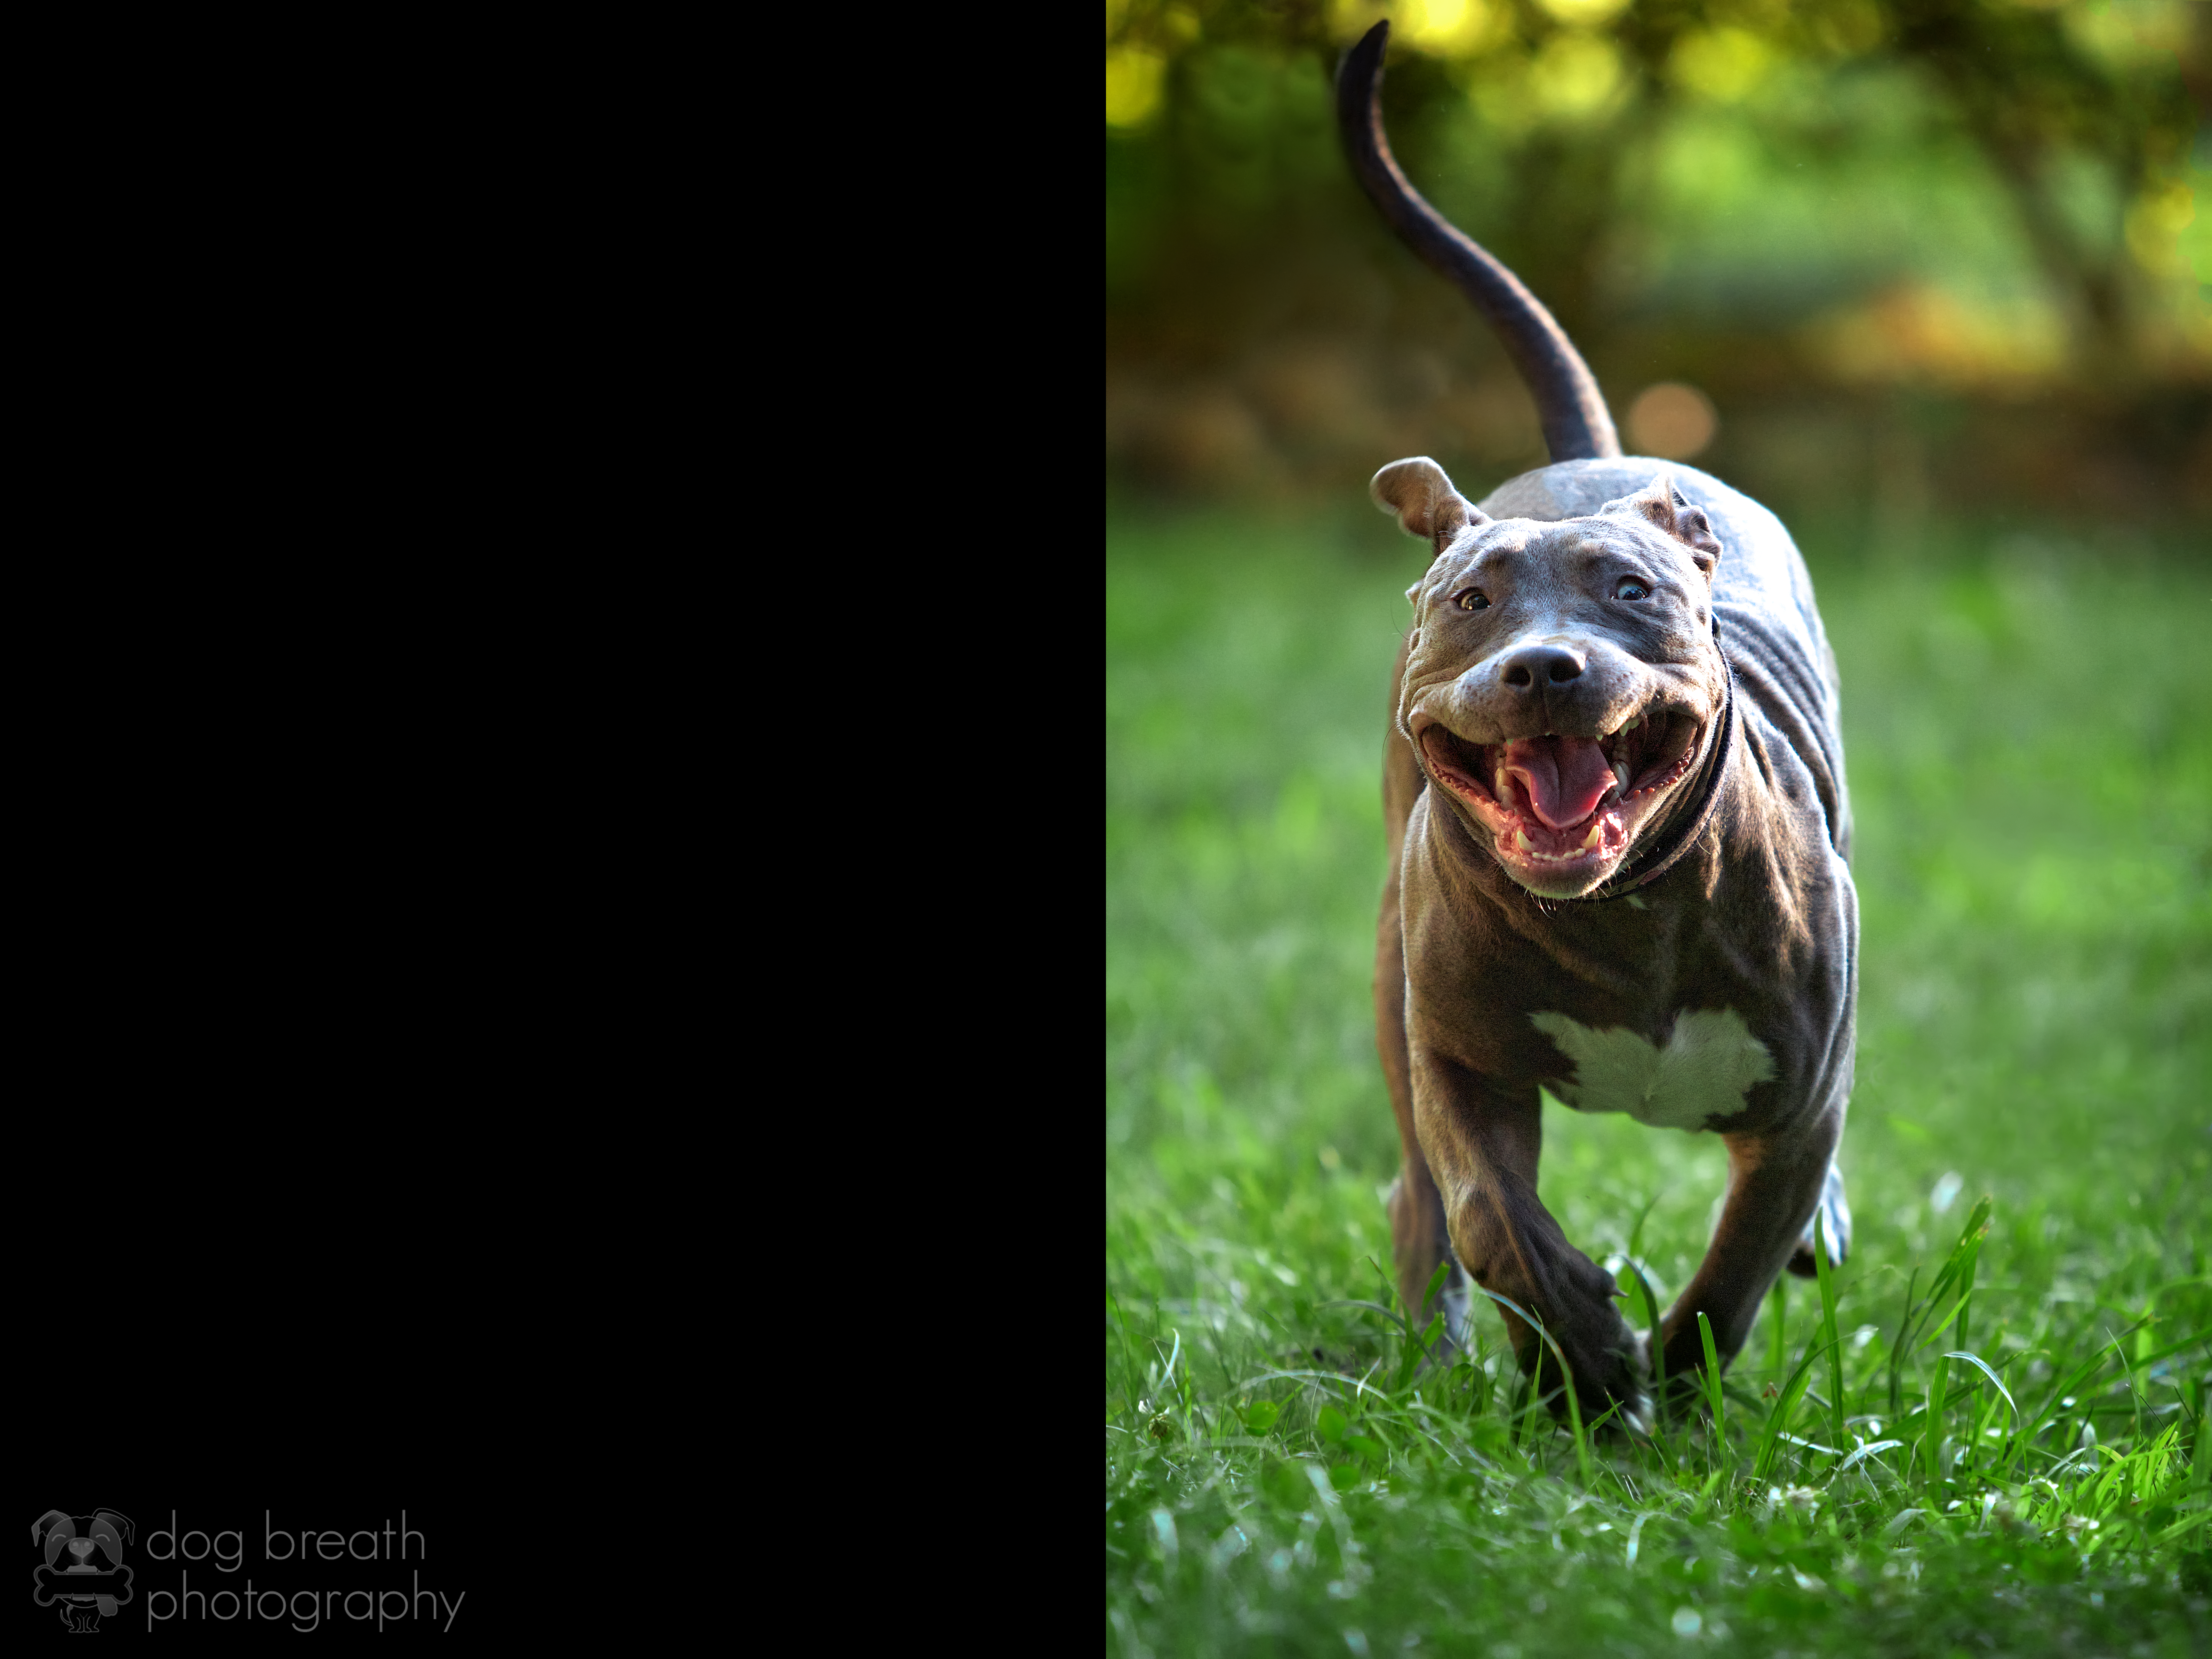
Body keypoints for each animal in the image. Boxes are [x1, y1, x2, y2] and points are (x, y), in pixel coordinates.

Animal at [1336, 22, 1858, 1433]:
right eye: (1472, 600)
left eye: (1631, 591)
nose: (1546, 668)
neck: (1624, 915)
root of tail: (1601, 456)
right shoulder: (1461, 1064)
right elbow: (1494, 1219)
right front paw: (1578, 1354)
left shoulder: (1797, 1109)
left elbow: (1733, 1273)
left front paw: (1663, 1400)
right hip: (1392, 987)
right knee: (1424, 1208)